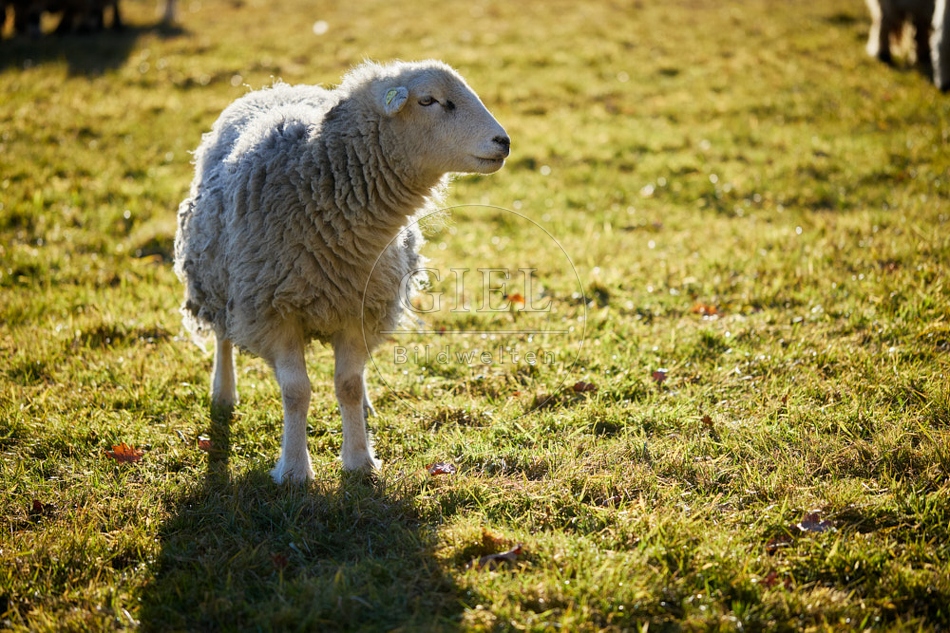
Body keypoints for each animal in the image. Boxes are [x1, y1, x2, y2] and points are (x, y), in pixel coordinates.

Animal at [174, 60, 510, 483]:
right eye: (428, 100)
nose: (504, 142)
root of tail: (275, 88)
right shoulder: (273, 310)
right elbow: (296, 391)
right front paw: (295, 469)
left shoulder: (360, 307)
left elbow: (347, 385)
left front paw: (359, 459)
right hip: (216, 275)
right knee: (222, 336)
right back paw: (223, 392)